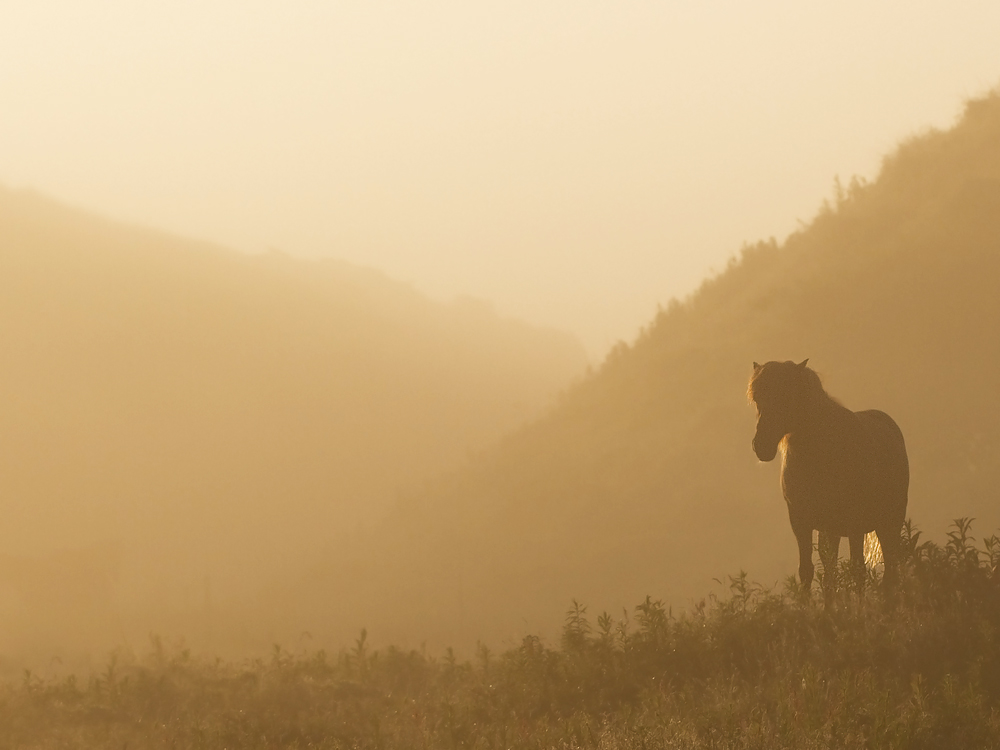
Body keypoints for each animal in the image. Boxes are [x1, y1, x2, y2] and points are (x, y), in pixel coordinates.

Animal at [752, 360, 908, 600]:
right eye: (757, 398)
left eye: (786, 396)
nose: (760, 445)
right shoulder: (802, 523)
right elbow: (809, 571)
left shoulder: (854, 523)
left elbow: (857, 570)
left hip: (889, 522)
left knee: (888, 569)